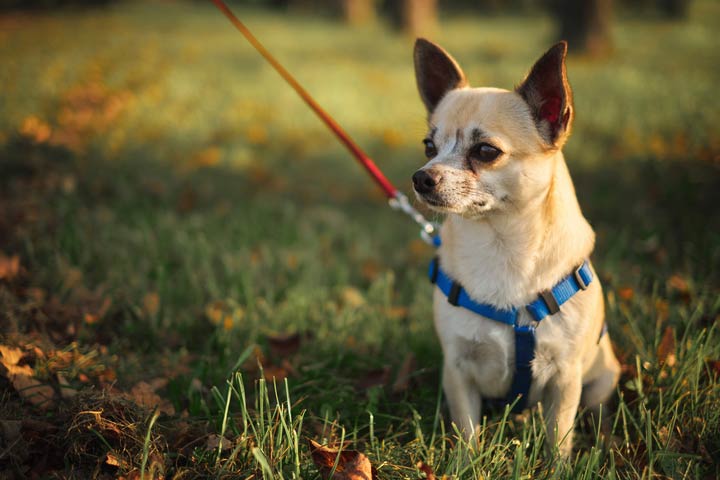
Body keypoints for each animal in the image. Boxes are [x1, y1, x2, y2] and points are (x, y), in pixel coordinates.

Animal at [414, 39, 620, 456]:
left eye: (486, 151)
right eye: (429, 147)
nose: (421, 177)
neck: (501, 247)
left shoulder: (565, 378)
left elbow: (559, 435)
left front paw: (558, 465)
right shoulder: (457, 371)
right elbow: (468, 432)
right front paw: (466, 463)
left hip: (601, 379)